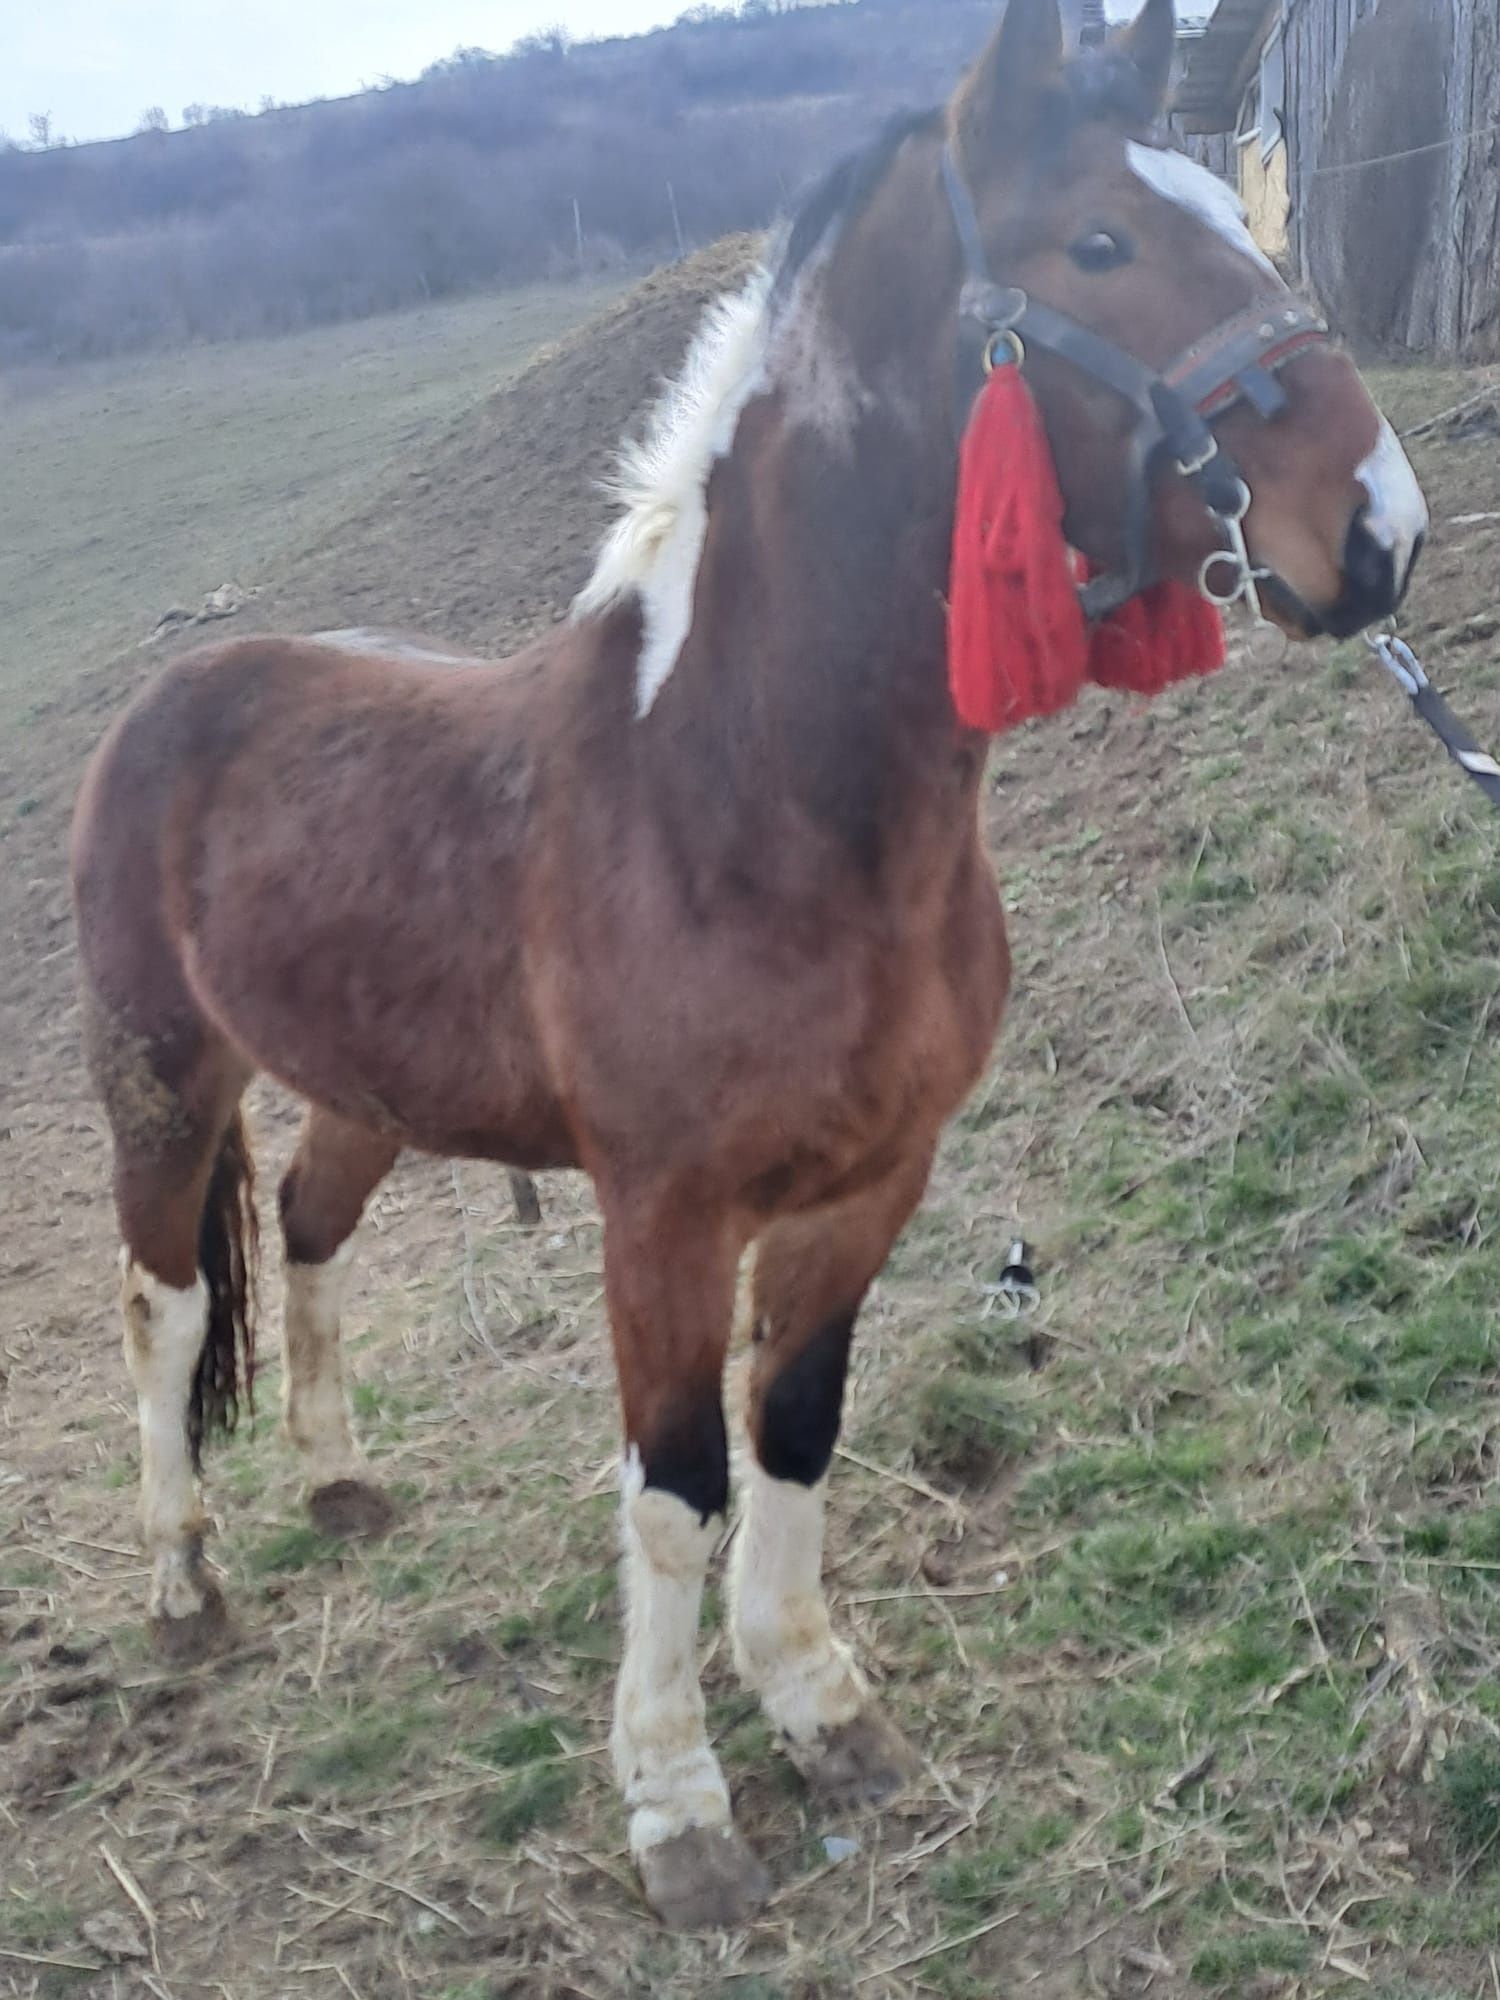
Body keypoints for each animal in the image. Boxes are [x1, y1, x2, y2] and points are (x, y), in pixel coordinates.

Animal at [73, 0, 1432, 1936]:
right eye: (1100, 243)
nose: (1379, 529)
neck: (748, 801)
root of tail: (178, 696)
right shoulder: (663, 1213)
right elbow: (672, 1488)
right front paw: (679, 1810)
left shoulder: (868, 1185)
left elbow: (793, 1434)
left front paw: (823, 1711)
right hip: (160, 1069)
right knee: (165, 1304)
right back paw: (184, 1583)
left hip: (365, 1088)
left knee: (310, 1232)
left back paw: (335, 1482)